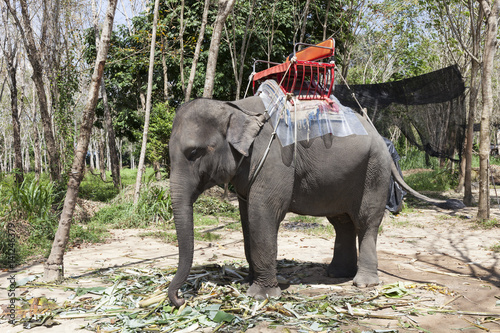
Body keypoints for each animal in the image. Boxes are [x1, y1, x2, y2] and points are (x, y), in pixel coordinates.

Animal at [166, 94, 462, 304]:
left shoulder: (274, 161)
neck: (235, 107)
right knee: (342, 222)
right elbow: (246, 217)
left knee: (366, 221)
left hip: (374, 171)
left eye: (193, 153)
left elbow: (263, 214)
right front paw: (251, 283)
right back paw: (336, 274)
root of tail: (381, 137)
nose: (180, 300)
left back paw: (363, 283)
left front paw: (261, 296)